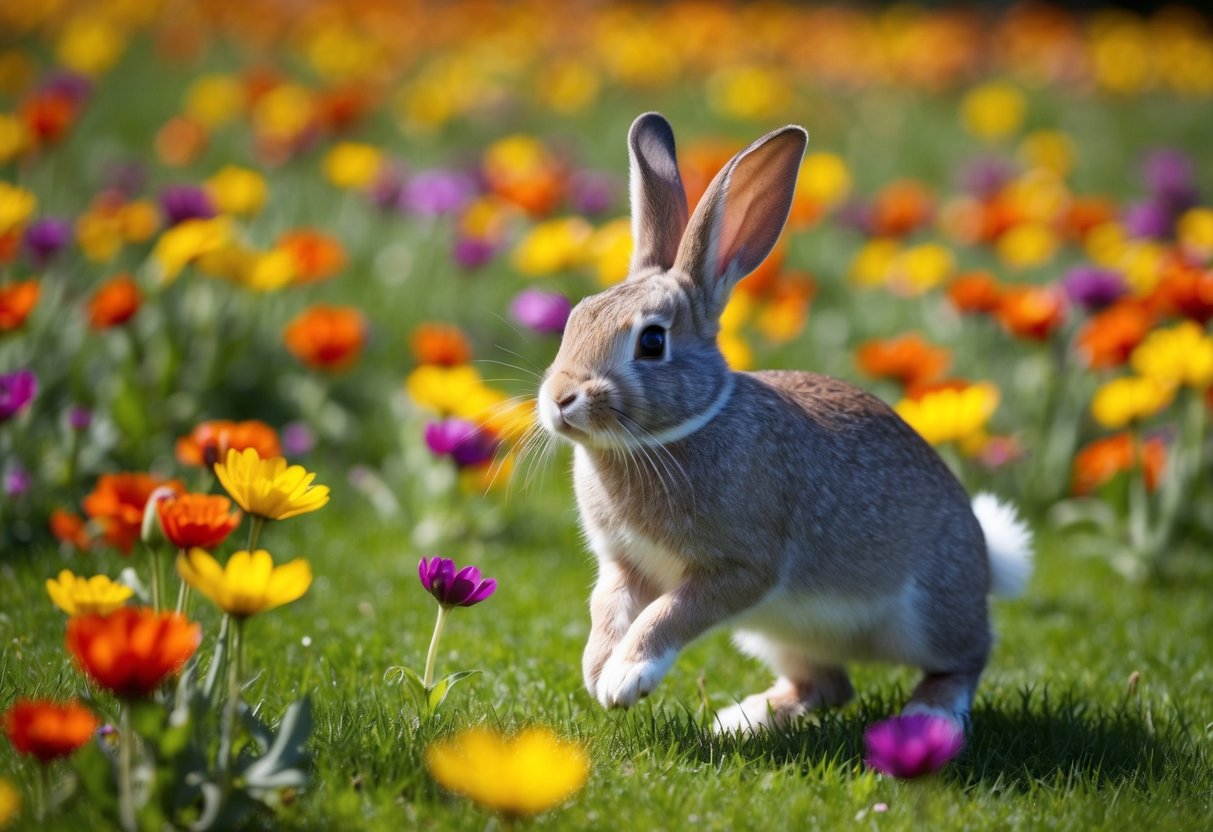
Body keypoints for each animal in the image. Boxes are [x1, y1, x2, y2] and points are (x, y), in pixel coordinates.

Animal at [536, 112, 1033, 732]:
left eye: (651, 342)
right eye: (575, 318)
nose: (560, 399)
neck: (672, 433)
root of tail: (985, 561)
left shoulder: (742, 568)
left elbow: (670, 613)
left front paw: (626, 679)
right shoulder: (624, 566)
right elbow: (608, 609)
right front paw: (596, 671)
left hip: (930, 611)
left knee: (966, 657)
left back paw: (928, 715)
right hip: (775, 633)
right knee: (826, 684)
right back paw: (741, 720)